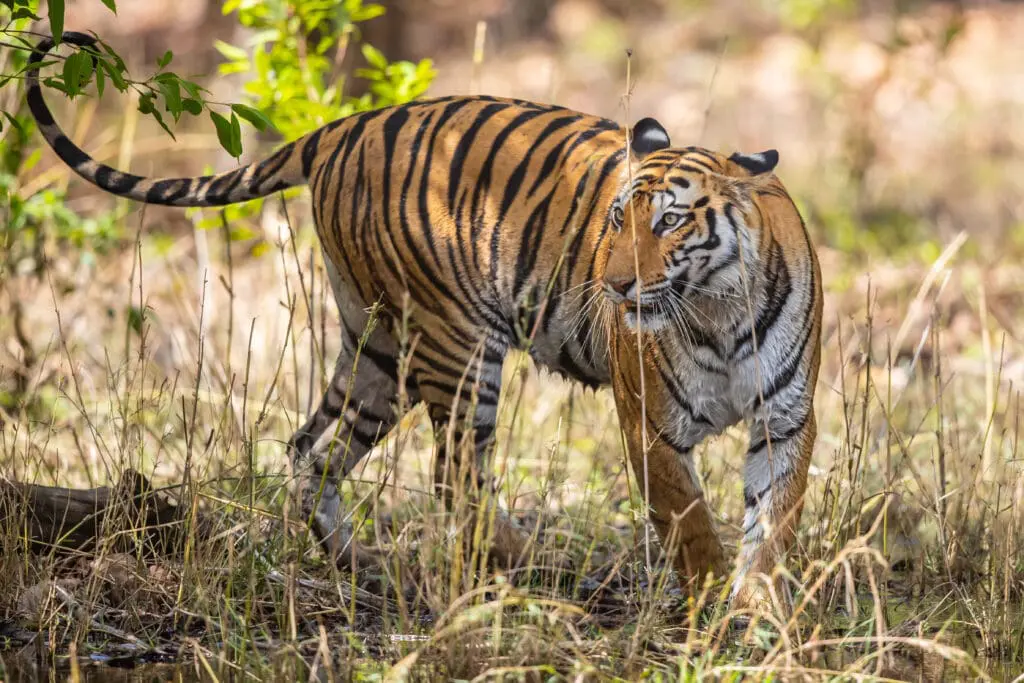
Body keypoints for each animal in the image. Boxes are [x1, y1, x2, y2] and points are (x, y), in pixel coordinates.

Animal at [27, 32, 822, 613]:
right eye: (617, 220)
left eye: (670, 222)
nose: (615, 283)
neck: (718, 309)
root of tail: (341, 129)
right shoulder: (650, 424)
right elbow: (691, 520)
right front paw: (715, 600)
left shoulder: (786, 420)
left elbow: (774, 521)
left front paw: (761, 611)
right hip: (459, 342)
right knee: (454, 476)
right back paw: (542, 572)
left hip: (378, 347)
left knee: (312, 448)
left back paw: (364, 566)